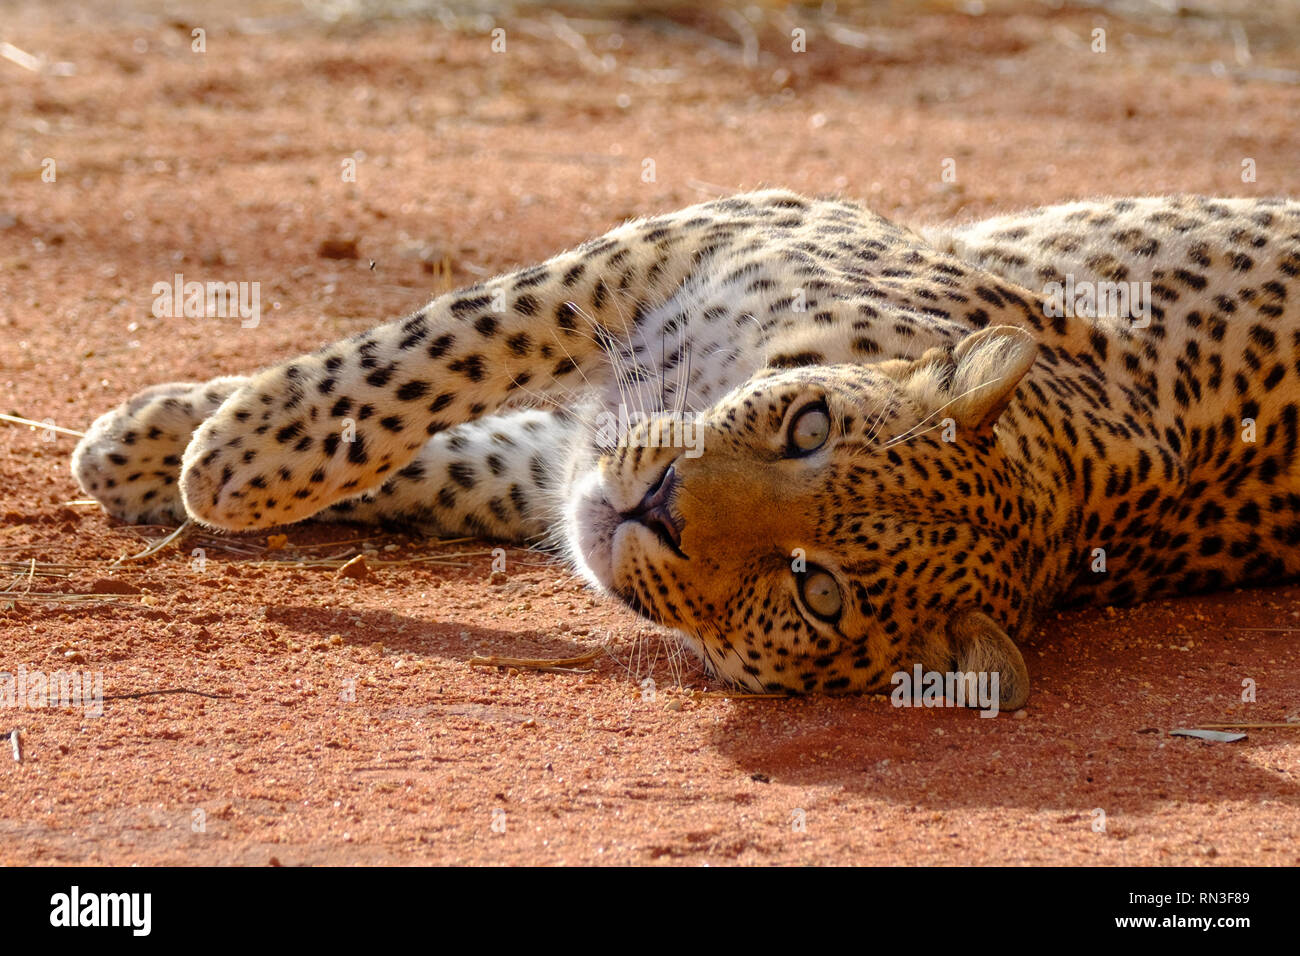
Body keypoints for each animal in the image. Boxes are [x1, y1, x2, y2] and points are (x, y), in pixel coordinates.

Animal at [73, 191, 1300, 712]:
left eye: (814, 591)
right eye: (809, 429)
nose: (656, 502)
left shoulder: (566, 462)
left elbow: (444, 420)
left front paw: (218, 463)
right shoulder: (702, 232)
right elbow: (446, 341)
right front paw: (171, 438)